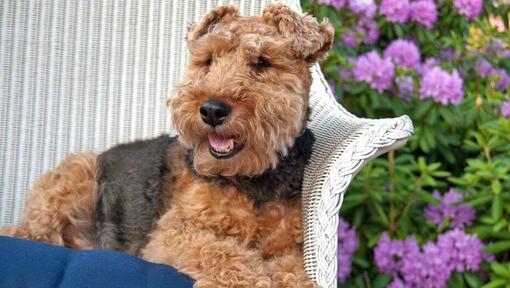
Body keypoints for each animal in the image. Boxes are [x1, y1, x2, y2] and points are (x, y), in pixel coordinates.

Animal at [1, 3, 334, 286]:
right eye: (207, 60)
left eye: (262, 62)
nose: (211, 110)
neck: (251, 180)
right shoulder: (176, 232)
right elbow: (230, 258)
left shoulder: (290, 249)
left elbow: (293, 273)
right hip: (77, 172)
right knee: (33, 234)